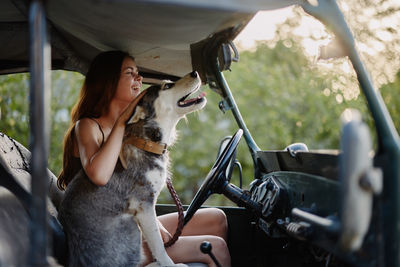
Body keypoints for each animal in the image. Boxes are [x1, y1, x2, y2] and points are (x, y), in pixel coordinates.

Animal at [58, 71, 206, 267]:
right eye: (167, 86)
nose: (195, 72)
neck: (146, 142)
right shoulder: (143, 205)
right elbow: (159, 246)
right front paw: (170, 264)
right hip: (130, 225)